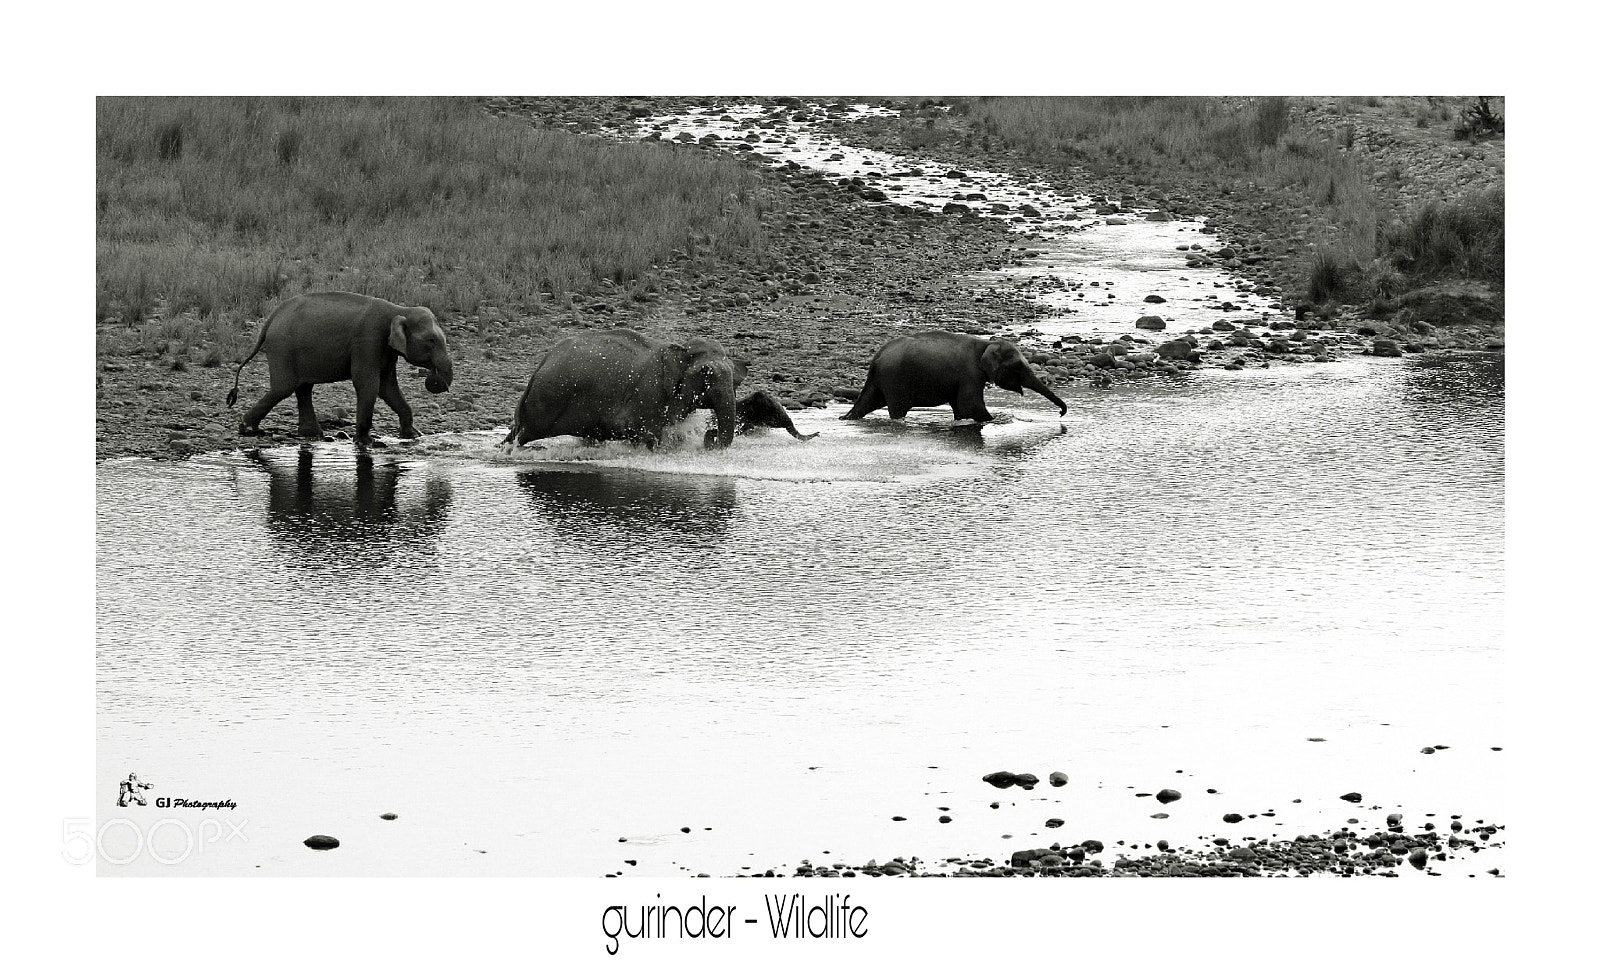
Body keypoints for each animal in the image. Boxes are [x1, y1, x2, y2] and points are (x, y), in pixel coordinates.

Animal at [227, 291, 454, 447]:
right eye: (431, 341)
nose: (434, 377)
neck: (399, 310)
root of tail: (270, 319)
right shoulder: (368, 340)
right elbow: (368, 384)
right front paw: (366, 443)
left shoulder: (387, 349)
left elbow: (387, 386)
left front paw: (414, 436)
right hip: (282, 348)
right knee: (283, 388)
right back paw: (247, 428)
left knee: (302, 388)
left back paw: (311, 435)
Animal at [504, 328, 750, 450]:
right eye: (705, 372)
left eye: (735, 378)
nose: (711, 435)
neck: (678, 348)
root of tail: (539, 367)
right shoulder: (649, 395)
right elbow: (650, 436)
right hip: (545, 401)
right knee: (523, 434)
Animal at [842, 330, 1068, 422]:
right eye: (1019, 366)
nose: (1060, 413)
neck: (986, 344)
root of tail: (876, 358)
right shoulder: (970, 374)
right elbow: (970, 405)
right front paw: (995, 420)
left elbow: (961, 409)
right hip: (895, 381)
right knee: (897, 410)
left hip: (882, 381)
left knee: (865, 404)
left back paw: (846, 418)